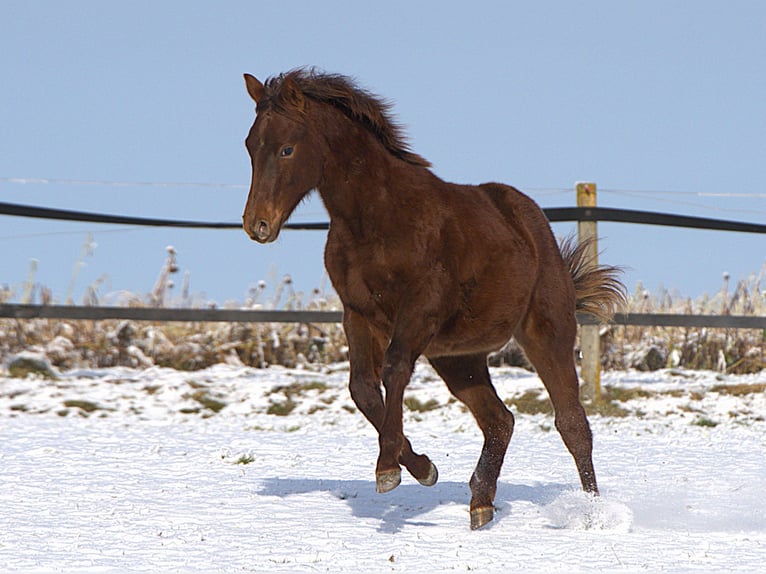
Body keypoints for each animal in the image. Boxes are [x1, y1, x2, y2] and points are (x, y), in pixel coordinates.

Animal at [243, 67, 628, 532]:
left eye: (287, 148)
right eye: (249, 145)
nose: (257, 224)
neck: (375, 219)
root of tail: (535, 226)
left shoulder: (419, 310)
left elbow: (393, 370)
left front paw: (388, 468)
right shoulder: (357, 313)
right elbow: (362, 388)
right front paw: (422, 467)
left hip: (546, 333)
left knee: (572, 424)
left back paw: (592, 515)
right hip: (458, 357)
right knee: (500, 420)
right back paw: (480, 504)